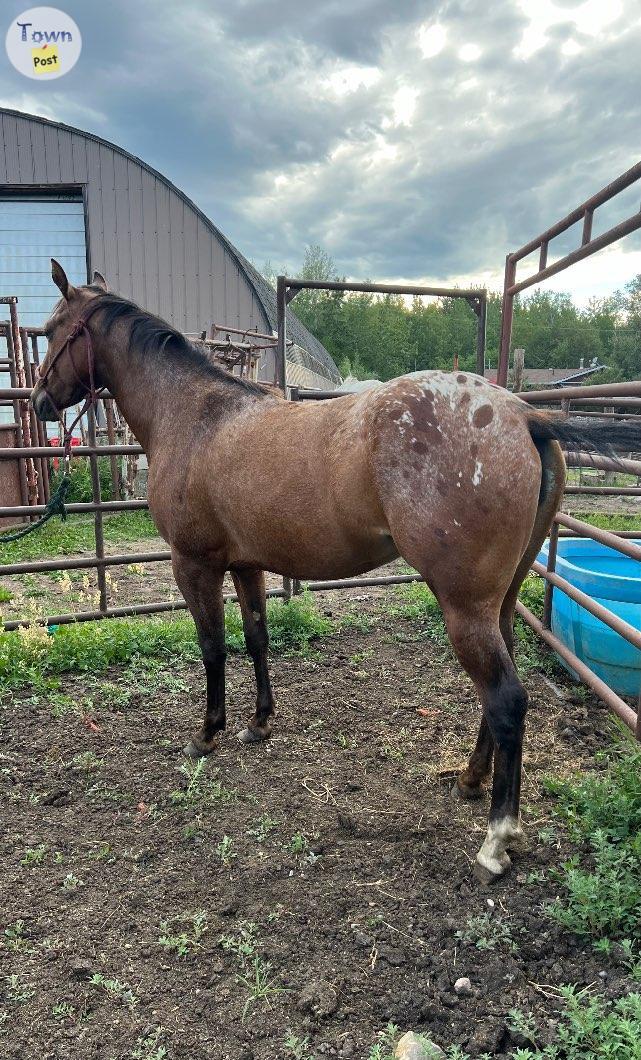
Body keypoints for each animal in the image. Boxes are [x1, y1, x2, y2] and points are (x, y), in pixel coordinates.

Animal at [31, 262, 639, 886]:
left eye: (50, 331)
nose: (39, 402)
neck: (196, 417)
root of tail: (524, 414)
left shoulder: (193, 564)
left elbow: (212, 647)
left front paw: (208, 733)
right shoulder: (245, 564)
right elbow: (256, 639)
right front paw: (258, 723)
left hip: (465, 607)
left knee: (506, 700)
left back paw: (496, 840)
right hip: (500, 602)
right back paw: (471, 779)